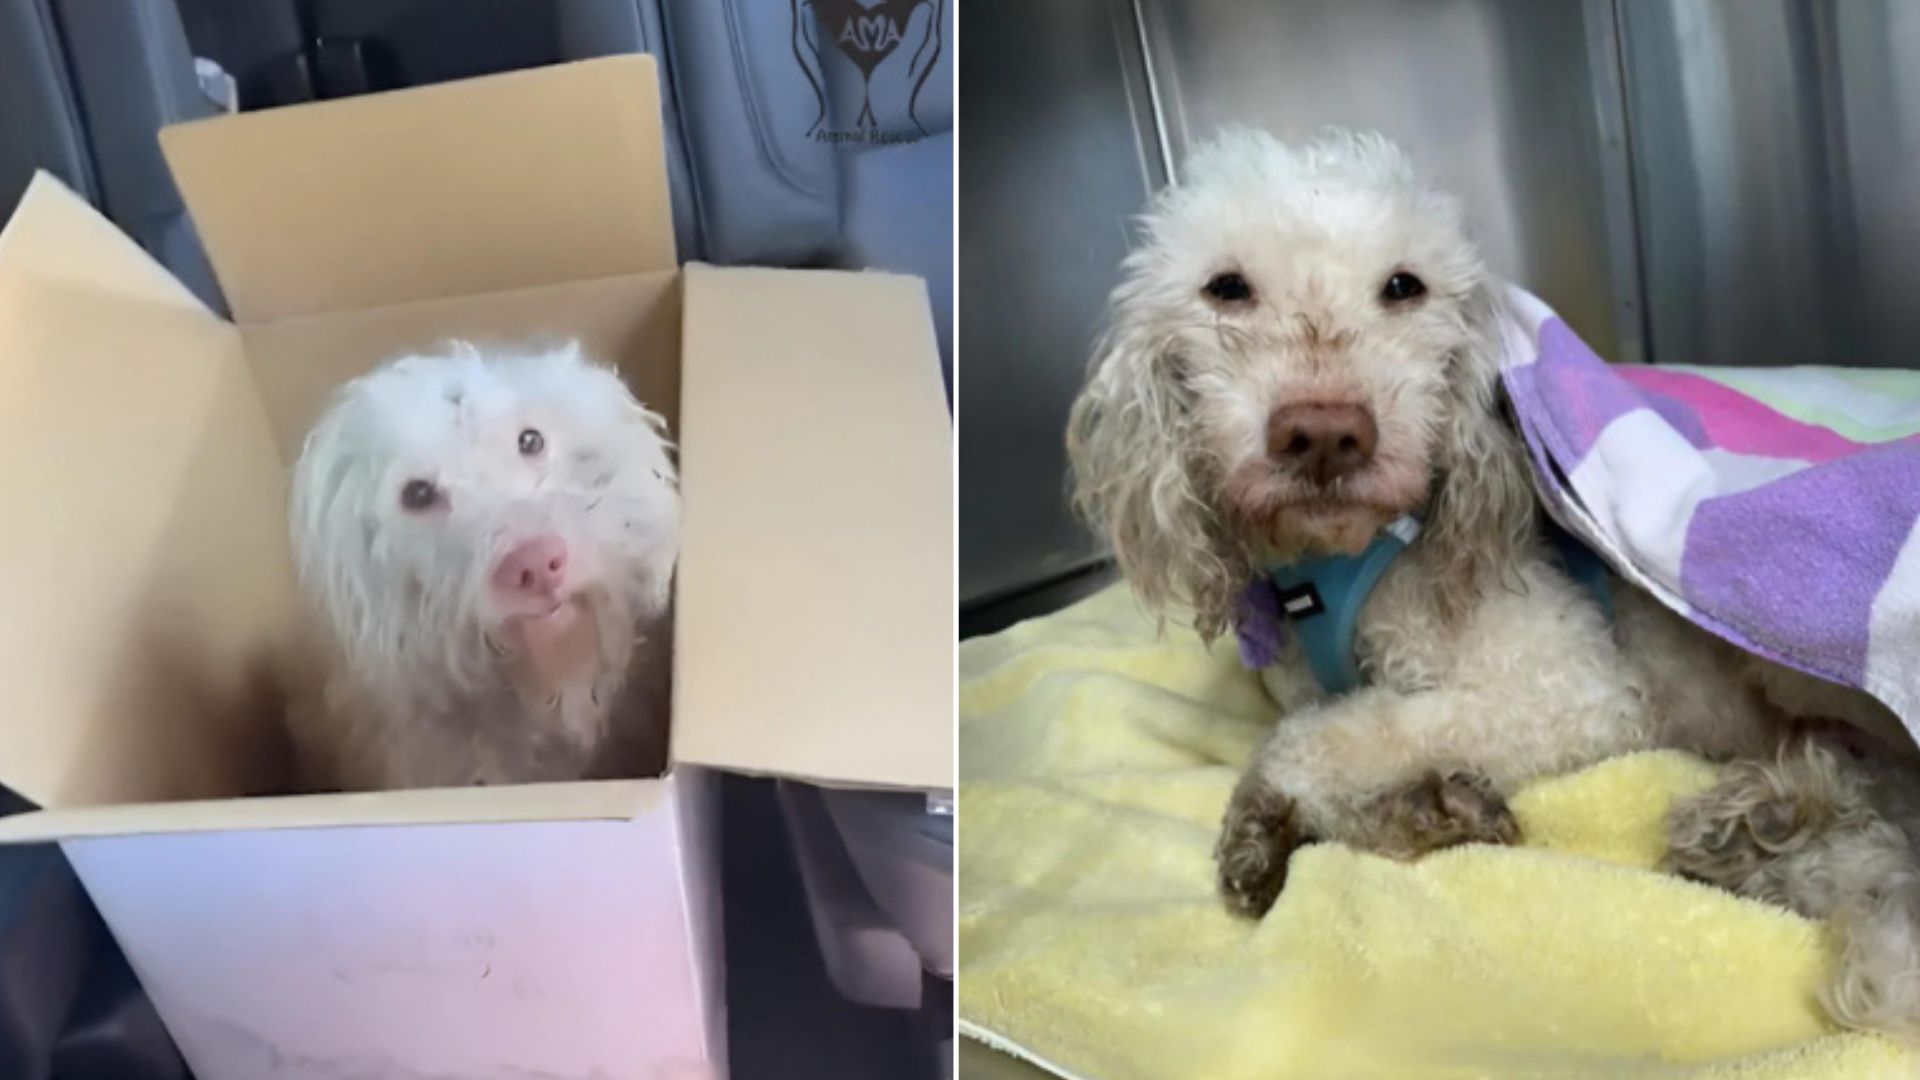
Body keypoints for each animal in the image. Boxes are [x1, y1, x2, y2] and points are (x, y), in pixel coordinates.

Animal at [1075, 123, 1920, 1037]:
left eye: (1404, 286)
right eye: (1226, 288)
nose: (1326, 434)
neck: (1338, 562)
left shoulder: (1577, 695)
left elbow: (1314, 739)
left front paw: (1311, 808)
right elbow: (1333, 739)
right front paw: (1403, 817)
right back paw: (1761, 832)